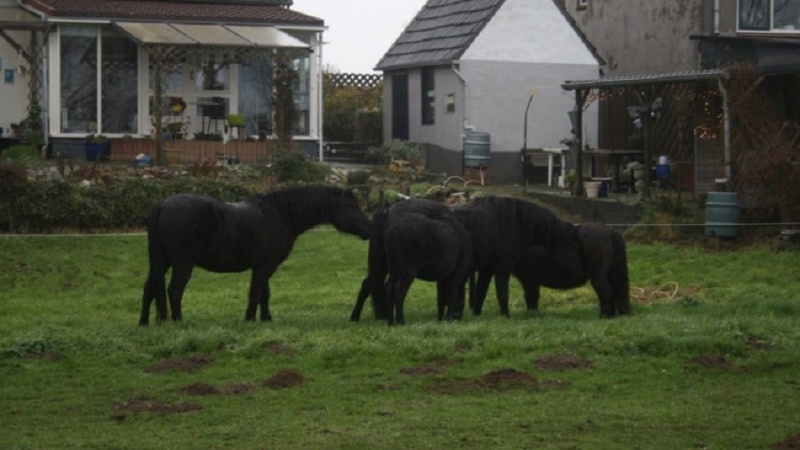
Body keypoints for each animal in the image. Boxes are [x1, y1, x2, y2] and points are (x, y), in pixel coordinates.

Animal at [138, 185, 372, 326]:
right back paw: (179, 322)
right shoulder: (264, 267)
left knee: (150, 287)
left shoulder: (264, 267)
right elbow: (256, 293)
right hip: (183, 263)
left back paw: (144, 323)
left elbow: (264, 294)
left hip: (161, 262)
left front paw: (266, 319)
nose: (369, 228)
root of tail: (162, 205)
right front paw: (250, 320)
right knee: (174, 290)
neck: (279, 215)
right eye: (352, 206)